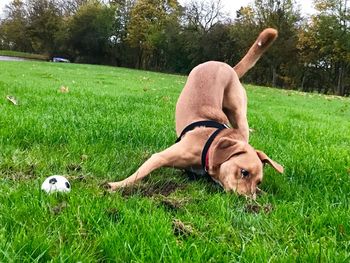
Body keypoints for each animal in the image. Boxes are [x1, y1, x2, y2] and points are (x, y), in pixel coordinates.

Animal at [109, 28, 284, 198]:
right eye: (244, 172)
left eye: (258, 181)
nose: (248, 200)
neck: (212, 147)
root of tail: (228, 67)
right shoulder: (160, 157)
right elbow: (139, 173)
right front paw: (117, 185)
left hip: (239, 113)